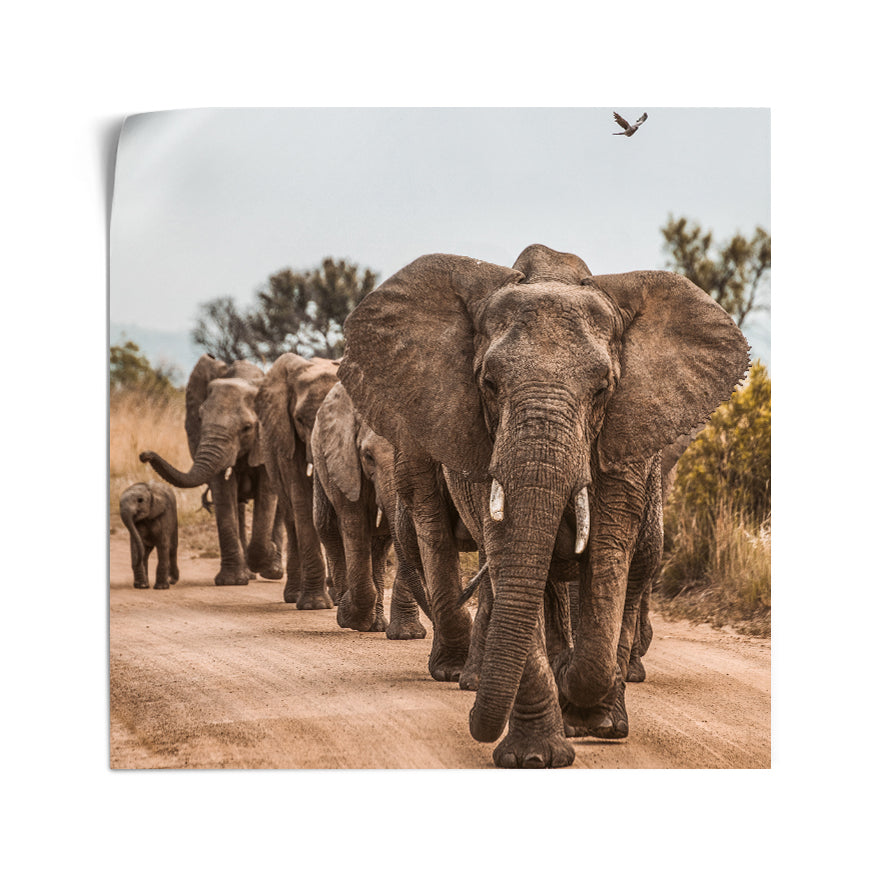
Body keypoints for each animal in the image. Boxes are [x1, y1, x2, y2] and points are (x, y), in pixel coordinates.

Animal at [139, 355, 284, 587]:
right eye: (199, 419)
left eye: (247, 428)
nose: (144, 455)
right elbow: (223, 493)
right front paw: (232, 581)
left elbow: (267, 493)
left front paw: (267, 554)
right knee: (238, 505)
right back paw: (249, 573)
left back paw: (273, 571)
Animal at [254, 352, 340, 607]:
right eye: (300, 419)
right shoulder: (286, 436)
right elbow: (301, 498)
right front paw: (315, 605)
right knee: (291, 517)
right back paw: (294, 595)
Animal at [310, 382, 429, 638]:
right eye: (368, 456)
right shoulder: (345, 461)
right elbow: (354, 524)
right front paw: (349, 617)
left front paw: (408, 635)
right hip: (321, 461)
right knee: (327, 527)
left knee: (381, 543)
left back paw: (376, 625)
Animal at [339, 243, 749, 768]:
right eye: (489, 384)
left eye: (603, 389)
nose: (473, 722)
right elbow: (508, 558)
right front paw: (535, 756)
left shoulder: (626, 439)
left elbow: (609, 560)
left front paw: (588, 711)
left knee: (632, 570)